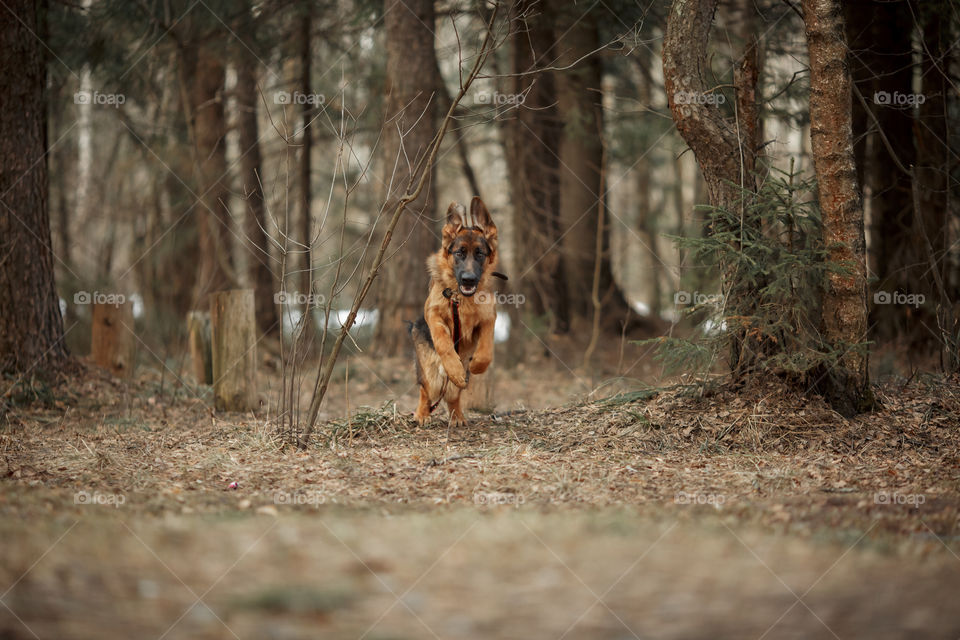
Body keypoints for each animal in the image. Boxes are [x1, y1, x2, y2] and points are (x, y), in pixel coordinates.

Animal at [408, 192, 498, 428]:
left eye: (480, 254)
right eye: (459, 253)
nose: (468, 279)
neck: (461, 299)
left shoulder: (489, 317)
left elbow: (486, 349)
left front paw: (477, 365)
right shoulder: (433, 314)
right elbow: (443, 342)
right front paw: (454, 369)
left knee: (453, 395)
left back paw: (457, 416)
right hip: (429, 369)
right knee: (426, 389)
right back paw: (422, 414)